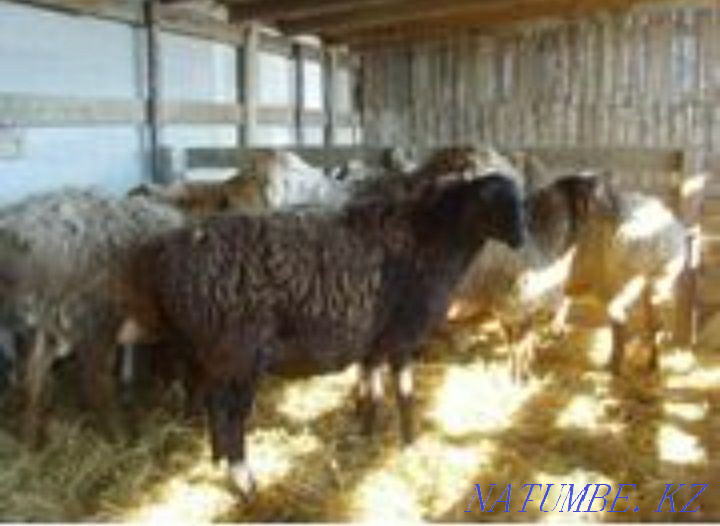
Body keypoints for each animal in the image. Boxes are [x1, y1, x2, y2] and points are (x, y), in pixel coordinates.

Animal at [0, 189, 187, 442]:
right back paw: (119, 437)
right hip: (95, 317)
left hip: (45, 324)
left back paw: (30, 439)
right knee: (93, 381)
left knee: (33, 378)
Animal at [112, 174, 526, 498]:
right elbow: (405, 394)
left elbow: (370, 388)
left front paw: (366, 432)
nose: (522, 240)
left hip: (209, 350)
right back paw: (243, 479)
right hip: (239, 350)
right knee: (231, 412)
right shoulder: (402, 335)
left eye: (520, 201)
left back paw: (217, 462)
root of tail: (164, 255)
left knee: (210, 401)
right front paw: (409, 444)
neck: (431, 239)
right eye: (497, 202)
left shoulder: (373, 340)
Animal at [447, 174, 605, 380]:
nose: (599, 179)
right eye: (585, 190)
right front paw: (521, 376)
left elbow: (514, 345)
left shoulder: (508, 312)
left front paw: (515, 373)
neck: (543, 239)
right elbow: (520, 346)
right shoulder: (520, 309)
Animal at [564, 176, 687, 374]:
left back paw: (614, 366)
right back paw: (652, 363)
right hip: (659, 281)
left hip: (621, 280)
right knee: (655, 321)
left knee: (620, 321)